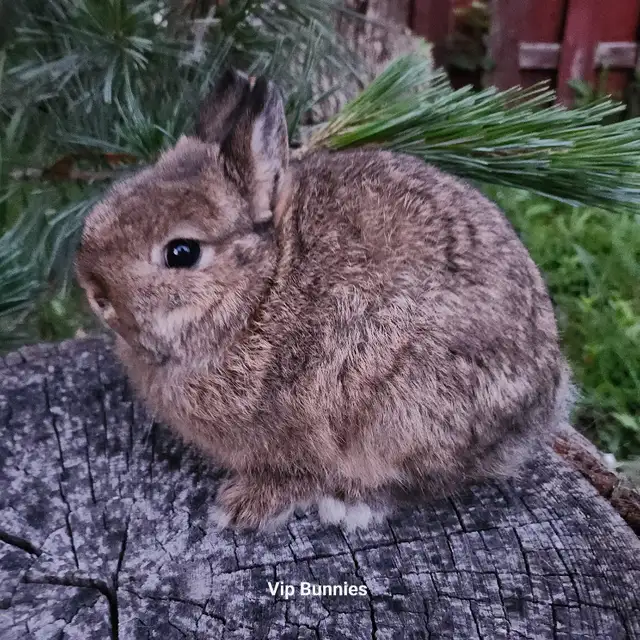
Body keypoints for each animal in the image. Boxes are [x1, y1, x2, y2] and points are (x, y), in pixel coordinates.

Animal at [76, 69, 572, 532]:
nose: (93, 288)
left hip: (406, 406)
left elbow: (299, 473)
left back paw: (349, 505)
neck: (260, 292)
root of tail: (542, 404)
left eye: (182, 252)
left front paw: (245, 507)